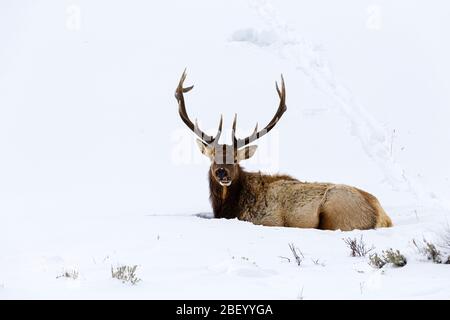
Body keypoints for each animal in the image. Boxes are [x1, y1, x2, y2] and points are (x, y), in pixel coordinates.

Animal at [174, 70, 392, 230]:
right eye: (213, 158)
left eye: (236, 159)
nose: (222, 172)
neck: (230, 207)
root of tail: (382, 216)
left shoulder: (268, 220)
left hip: (335, 209)